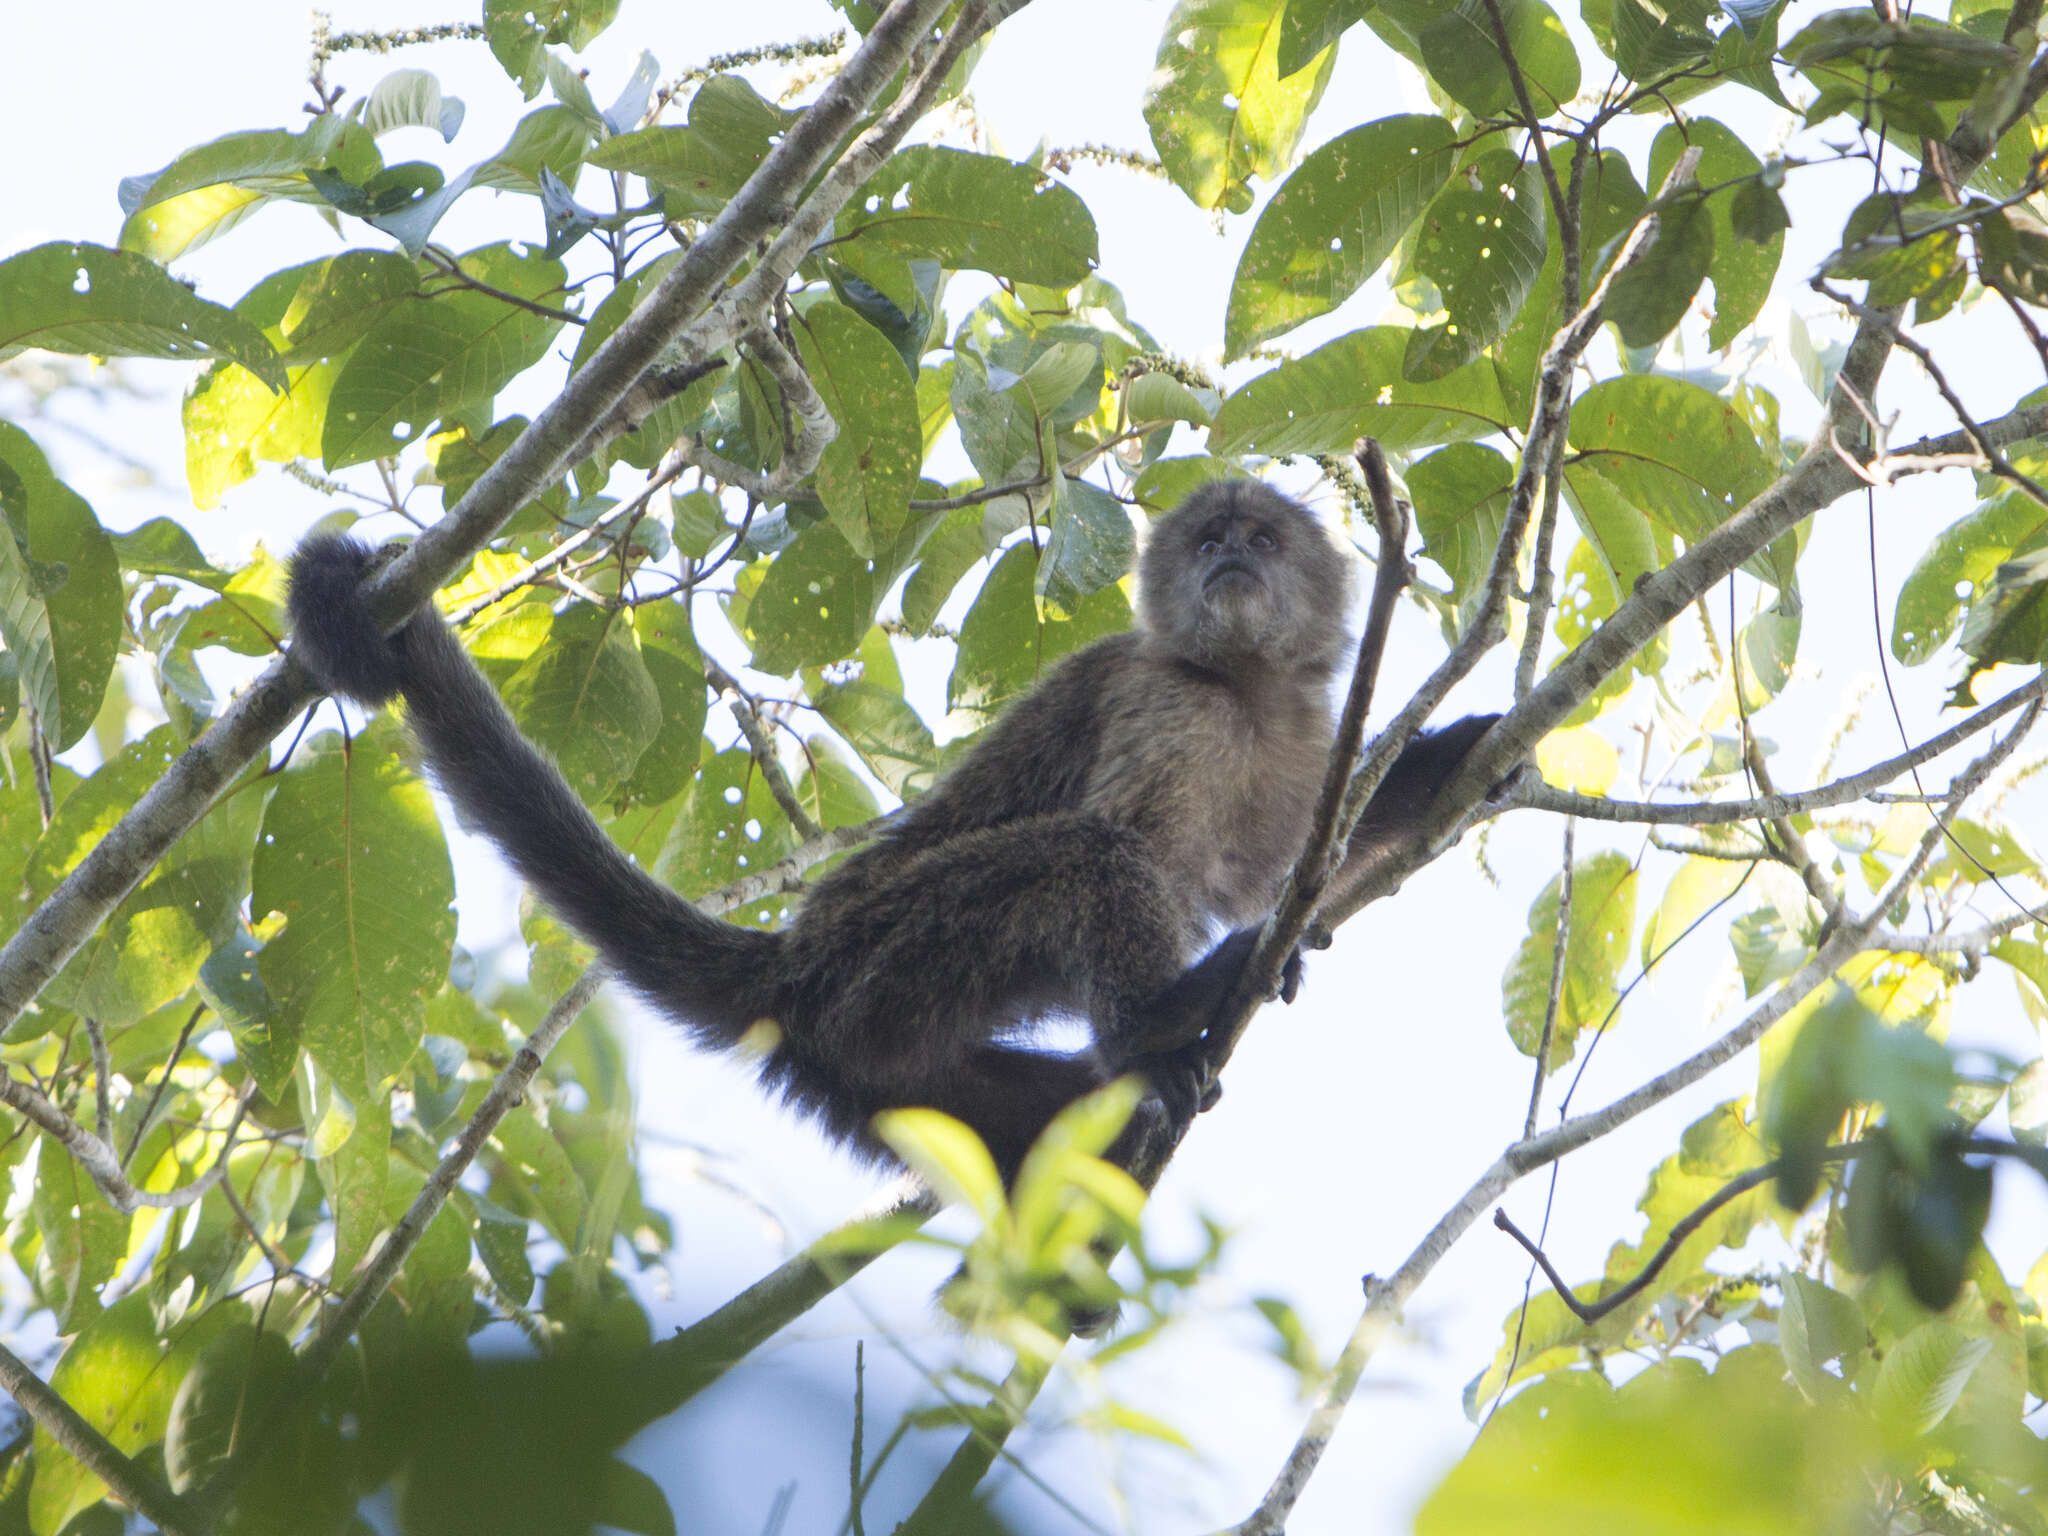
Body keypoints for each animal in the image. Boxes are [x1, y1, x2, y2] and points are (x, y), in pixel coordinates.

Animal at [288, 487, 1499, 1187]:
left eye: (1258, 539)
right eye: (1208, 538)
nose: (1225, 560)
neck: (1240, 689)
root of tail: (791, 963)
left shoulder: (1300, 737)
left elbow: (1300, 857)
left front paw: (1464, 757)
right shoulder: (1166, 700)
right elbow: (1130, 841)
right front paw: (1203, 977)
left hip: (866, 1073)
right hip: (881, 958)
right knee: (1083, 860)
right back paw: (1162, 1022)